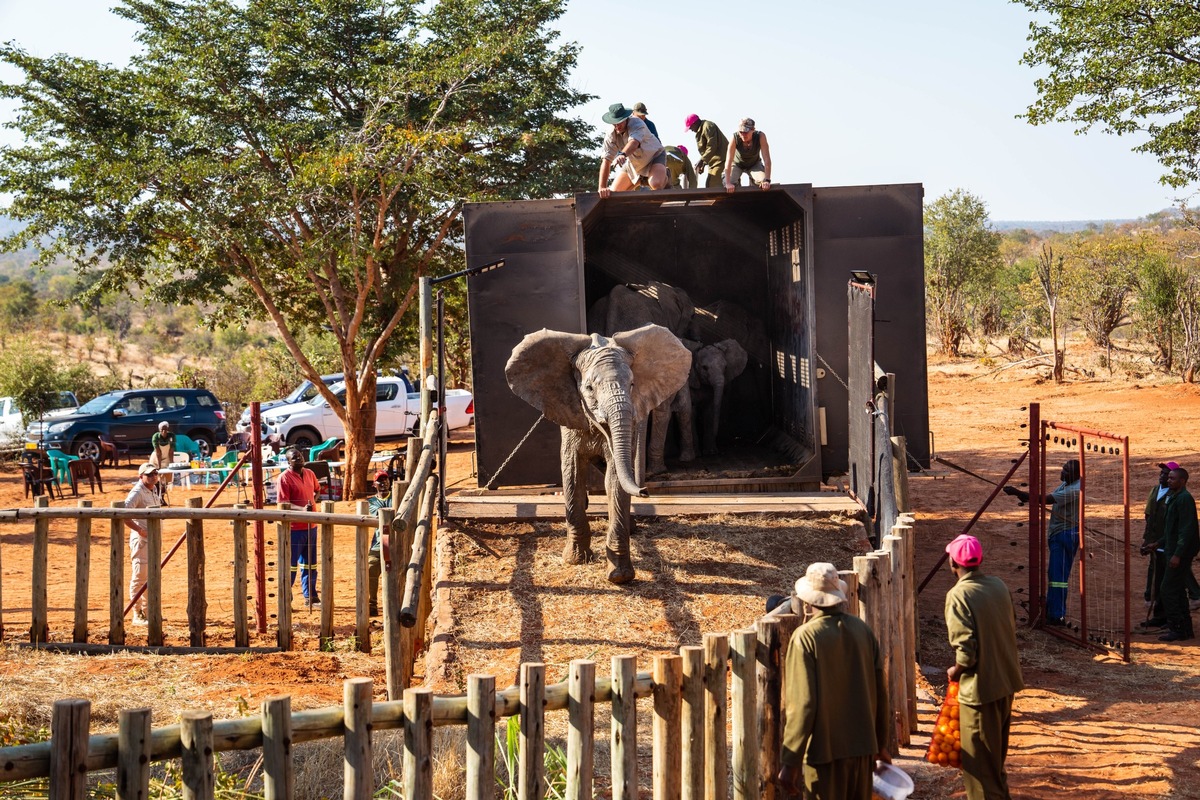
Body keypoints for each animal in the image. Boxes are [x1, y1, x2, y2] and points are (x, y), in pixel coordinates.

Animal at [506, 323, 696, 582]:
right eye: (589, 388)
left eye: (632, 385)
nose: (645, 491)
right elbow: (573, 472)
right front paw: (576, 560)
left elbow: (614, 479)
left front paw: (619, 576)